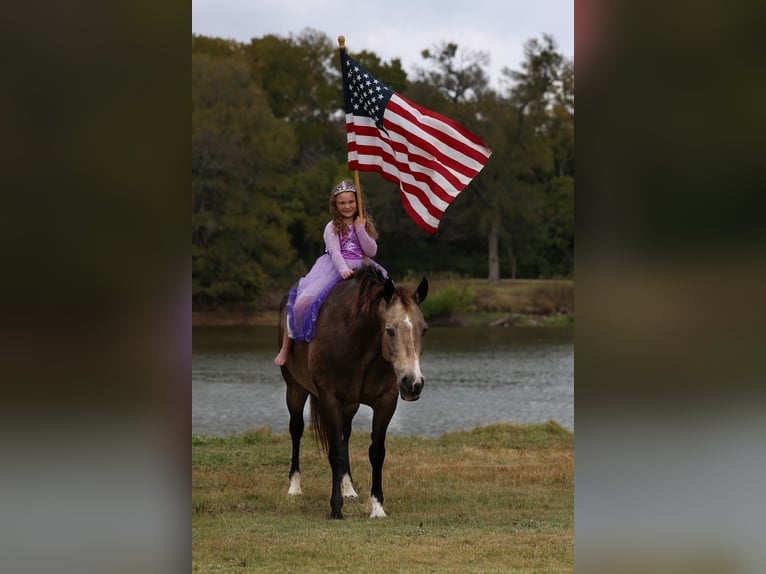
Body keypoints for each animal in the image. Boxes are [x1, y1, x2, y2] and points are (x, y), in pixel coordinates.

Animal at [277, 265, 429, 519]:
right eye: (389, 330)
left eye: (424, 330)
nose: (413, 383)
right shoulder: (329, 399)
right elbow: (335, 453)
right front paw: (335, 508)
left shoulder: (385, 402)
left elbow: (376, 452)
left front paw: (377, 507)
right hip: (295, 390)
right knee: (296, 430)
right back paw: (294, 487)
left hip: (350, 405)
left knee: (344, 435)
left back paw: (348, 488)